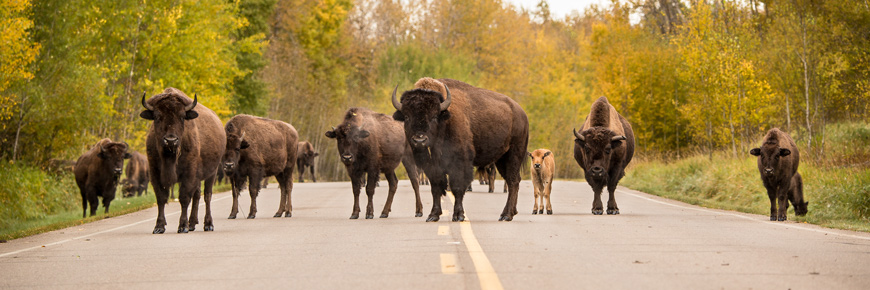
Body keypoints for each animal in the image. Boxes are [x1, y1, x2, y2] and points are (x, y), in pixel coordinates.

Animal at [141, 88, 227, 233]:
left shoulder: (189, 173)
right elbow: (161, 198)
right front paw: (159, 227)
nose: (171, 140)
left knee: (207, 195)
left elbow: (184, 197)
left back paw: (208, 224)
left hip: (212, 172)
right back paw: (192, 223)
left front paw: (182, 226)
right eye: (157, 117)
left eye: (182, 117)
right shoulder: (155, 173)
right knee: (197, 195)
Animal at [396, 77, 532, 222]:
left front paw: (458, 215)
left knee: (513, 181)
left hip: (514, 155)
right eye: (407, 117)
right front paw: (433, 215)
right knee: (513, 180)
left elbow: (457, 187)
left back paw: (506, 215)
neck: (444, 119)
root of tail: (522, 113)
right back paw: (510, 213)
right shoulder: (432, 167)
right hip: (501, 159)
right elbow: (436, 188)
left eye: (433, 117)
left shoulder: (460, 163)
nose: (419, 140)